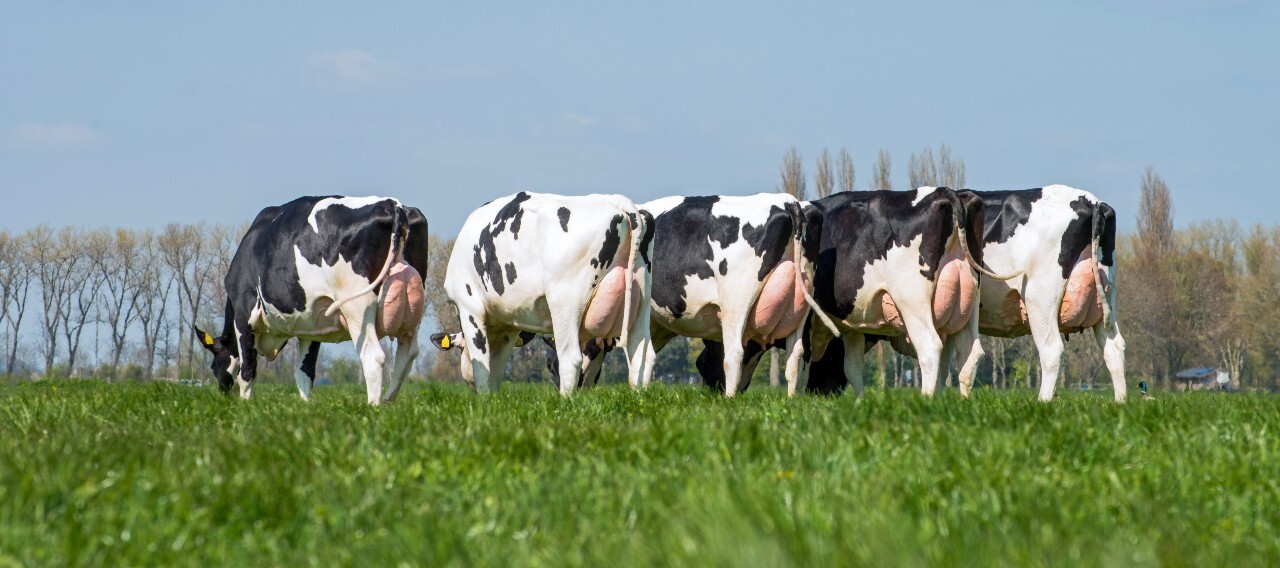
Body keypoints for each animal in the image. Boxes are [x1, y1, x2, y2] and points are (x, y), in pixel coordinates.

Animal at [192, 195, 427, 404]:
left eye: (213, 365)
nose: (222, 393)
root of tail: (392, 204)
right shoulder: (311, 326)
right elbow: (304, 373)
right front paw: (305, 406)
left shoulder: (243, 315)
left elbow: (247, 371)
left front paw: (246, 405)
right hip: (413, 312)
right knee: (408, 354)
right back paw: (388, 401)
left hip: (357, 307)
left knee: (373, 357)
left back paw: (373, 406)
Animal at [430, 191, 655, 394]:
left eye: (460, 348)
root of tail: (617, 201)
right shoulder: (508, 325)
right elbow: (495, 369)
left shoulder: (469, 307)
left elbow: (483, 367)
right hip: (641, 302)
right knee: (641, 357)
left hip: (565, 303)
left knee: (570, 358)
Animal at [788, 188, 1018, 396]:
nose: (818, 394)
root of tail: (948, 192)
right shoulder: (854, 326)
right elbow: (853, 368)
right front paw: (860, 403)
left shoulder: (809, 319)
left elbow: (799, 364)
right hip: (968, 307)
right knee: (970, 355)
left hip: (912, 301)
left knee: (930, 348)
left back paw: (927, 400)